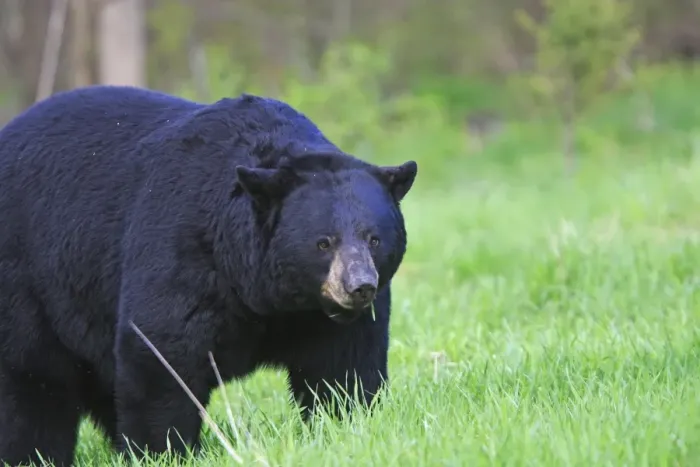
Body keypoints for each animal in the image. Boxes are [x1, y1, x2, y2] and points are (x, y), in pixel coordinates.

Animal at [0, 85, 418, 467]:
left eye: (374, 238)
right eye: (323, 242)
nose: (359, 286)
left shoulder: (323, 317)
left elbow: (344, 366)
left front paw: (347, 425)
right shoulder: (183, 246)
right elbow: (162, 351)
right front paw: (165, 450)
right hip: (31, 279)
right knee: (33, 382)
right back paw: (34, 455)